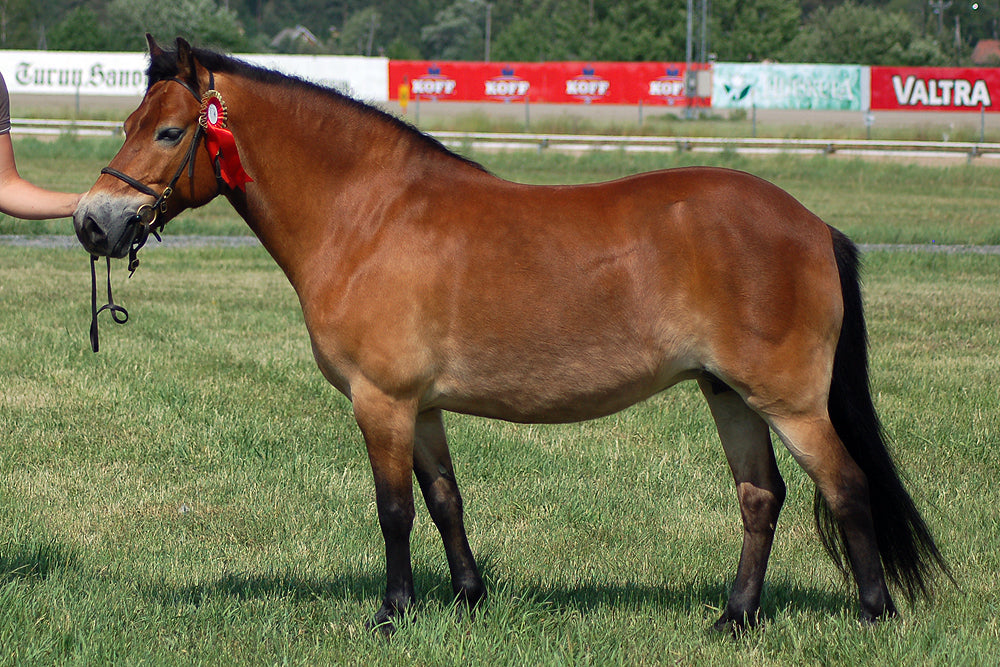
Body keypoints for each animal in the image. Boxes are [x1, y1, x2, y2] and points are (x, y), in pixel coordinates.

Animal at [73, 36, 949, 635]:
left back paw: (873, 615)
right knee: (760, 496)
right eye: (129, 121)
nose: (92, 222)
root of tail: (811, 224)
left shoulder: (381, 401)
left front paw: (392, 613)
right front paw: (467, 598)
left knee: (845, 486)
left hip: (789, 400)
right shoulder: (421, 406)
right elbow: (444, 499)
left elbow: (394, 509)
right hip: (728, 392)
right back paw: (734, 617)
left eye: (168, 132)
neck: (369, 214)